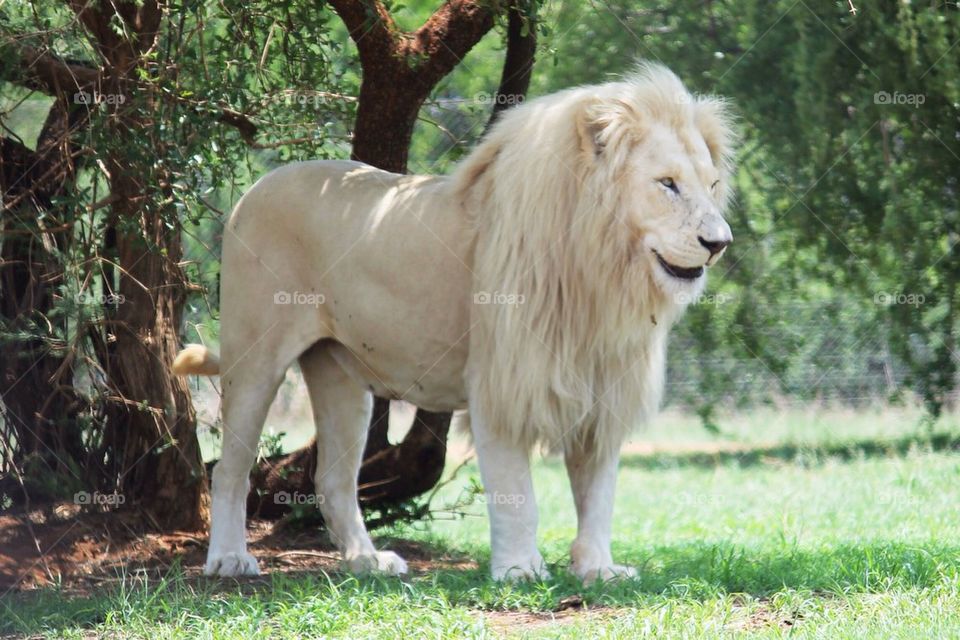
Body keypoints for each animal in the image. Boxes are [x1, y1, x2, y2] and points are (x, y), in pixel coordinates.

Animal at [174, 62, 736, 584]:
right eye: (667, 185)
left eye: (711, 185)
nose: (719, 243)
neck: (603, 274)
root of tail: (253, 190)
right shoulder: (502, 383)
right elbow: (517, 493)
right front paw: (519, 570)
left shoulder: (602, 386)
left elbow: (598, 494)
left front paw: (597, 568)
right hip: (256, 357)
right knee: (230, 470)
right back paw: (229, 559)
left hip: (340, 375)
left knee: (332, 481)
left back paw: (368, 562)